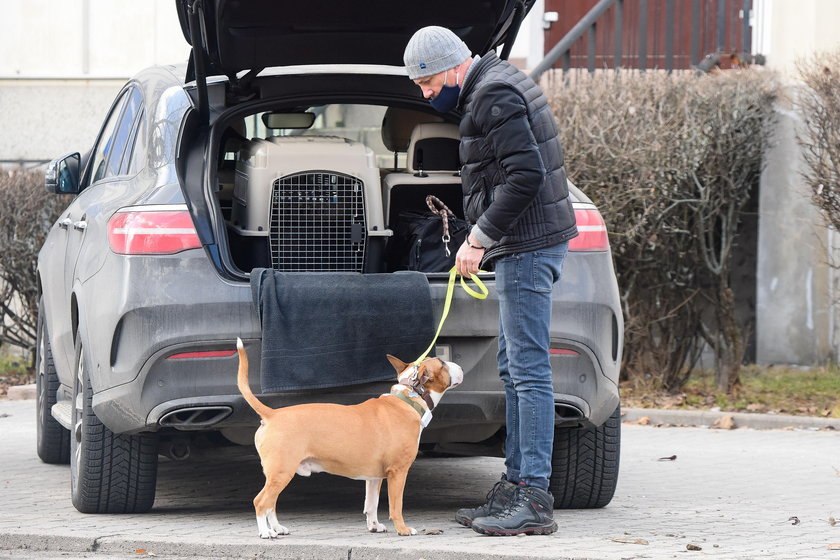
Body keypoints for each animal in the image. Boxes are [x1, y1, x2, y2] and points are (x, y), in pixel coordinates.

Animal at [233, 336, 462, 540]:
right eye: (442, 363)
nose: (459, 366)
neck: (408, 398)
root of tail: (272, 414)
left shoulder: (374, 477)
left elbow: (371, 504)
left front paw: (374, 526)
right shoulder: (398, 472)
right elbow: (396, 505)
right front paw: (403, 529)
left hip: (277, 474)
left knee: (271, 503)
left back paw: (277, 528)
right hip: (282, 471)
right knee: (261, 502)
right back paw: (265, 532)